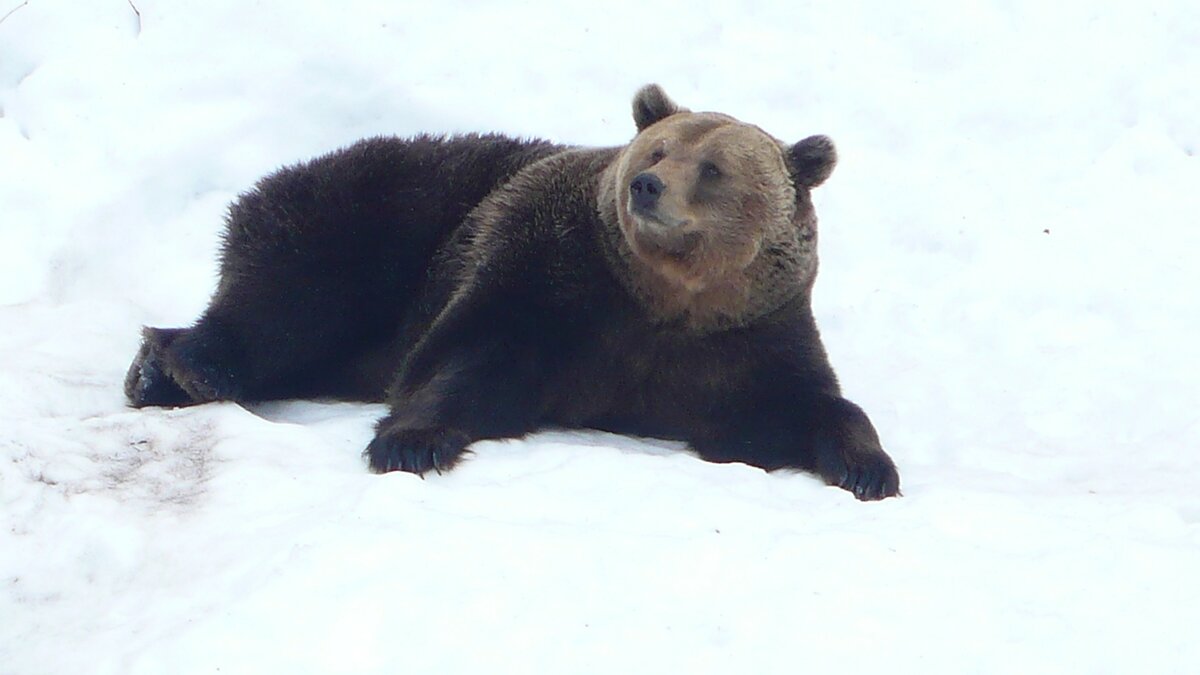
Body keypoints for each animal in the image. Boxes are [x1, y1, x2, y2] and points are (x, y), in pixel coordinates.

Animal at [129, 84, 902, 497]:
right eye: (658, 148)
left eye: (712, 168)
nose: (646, 185)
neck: (663, 297)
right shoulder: (547, 279)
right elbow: (465, 355)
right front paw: (411, 441)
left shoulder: (741, 340)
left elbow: (797, 407)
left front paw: (870, 467)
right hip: (377, 211)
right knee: (288, 298)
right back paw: (184, 368)